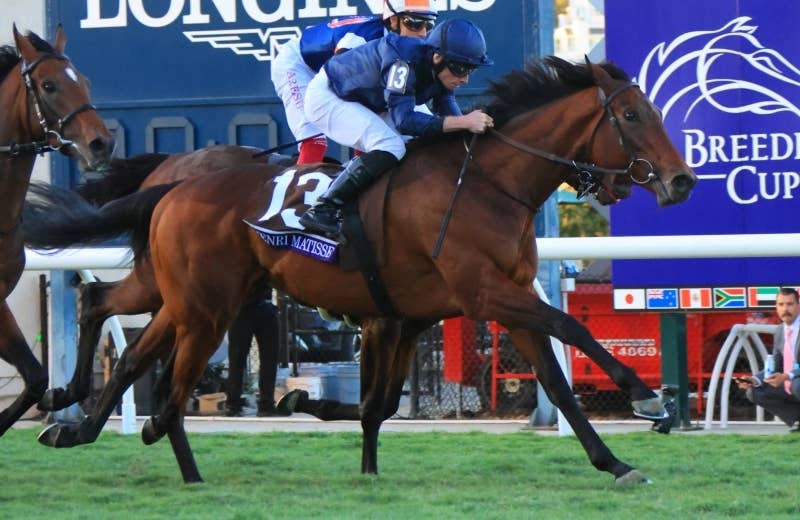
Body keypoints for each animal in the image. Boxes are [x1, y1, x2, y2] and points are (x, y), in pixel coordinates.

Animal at [25, 56, 695, 484]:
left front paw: (613, 462)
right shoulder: (482, 294)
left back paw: (78, 423)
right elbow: (574, 328)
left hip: (184, 296)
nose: (681, 180)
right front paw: (649, 401)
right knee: (161, 381)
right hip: (203, 306)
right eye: (631, 117)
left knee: (121, 335)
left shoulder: (462, 306)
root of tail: (173, 185)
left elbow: (549, 383)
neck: (487, 182)